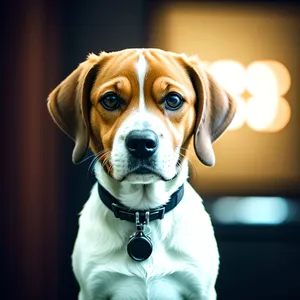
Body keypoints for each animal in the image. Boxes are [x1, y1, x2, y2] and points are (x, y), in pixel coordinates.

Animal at [47, 49, 236, 300]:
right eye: (110, 100)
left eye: (173, 100)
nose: (141, 143)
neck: (142, 212)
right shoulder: (92, 289)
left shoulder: (201, 290)